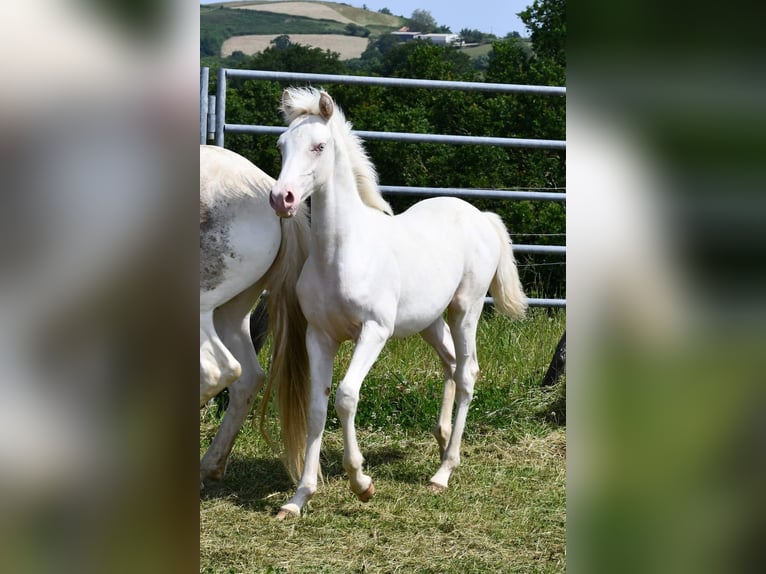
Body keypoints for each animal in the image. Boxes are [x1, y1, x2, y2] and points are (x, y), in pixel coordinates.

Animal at [270, 86, 528, 520]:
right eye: (282, 145)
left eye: (319, 146)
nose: (281, 198)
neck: (340, 252)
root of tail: (482, 215)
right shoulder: (319, 336)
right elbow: (317, 407)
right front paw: (298, 498)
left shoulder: (373, 332)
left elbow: (346, 397)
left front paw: (362, 483)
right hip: (429, 321)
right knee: (451, 365)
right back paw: (442, 442)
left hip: (465, 310)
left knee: (468, 373)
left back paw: (444, 472)